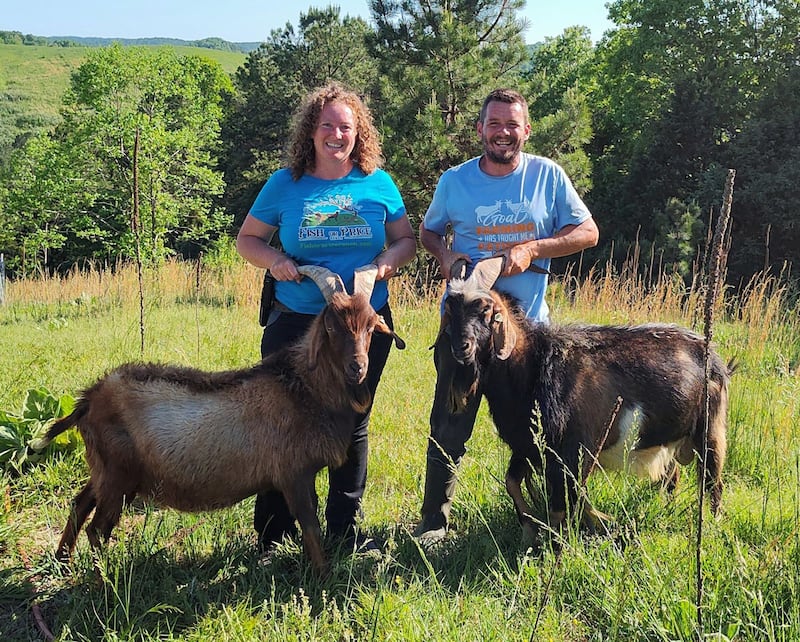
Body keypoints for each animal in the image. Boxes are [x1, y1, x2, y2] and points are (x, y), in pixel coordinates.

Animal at [34, 264, 404, 576]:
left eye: (371, 325)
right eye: (330, 325)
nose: (358, 368)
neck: (303, 387)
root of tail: (90, 397)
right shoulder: (293, 473)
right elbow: (310, 524)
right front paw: (323, 577)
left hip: (105, 469)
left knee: (80, 503)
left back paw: (63, 563)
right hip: (118, 475)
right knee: (98, 529)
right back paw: (104, 583)